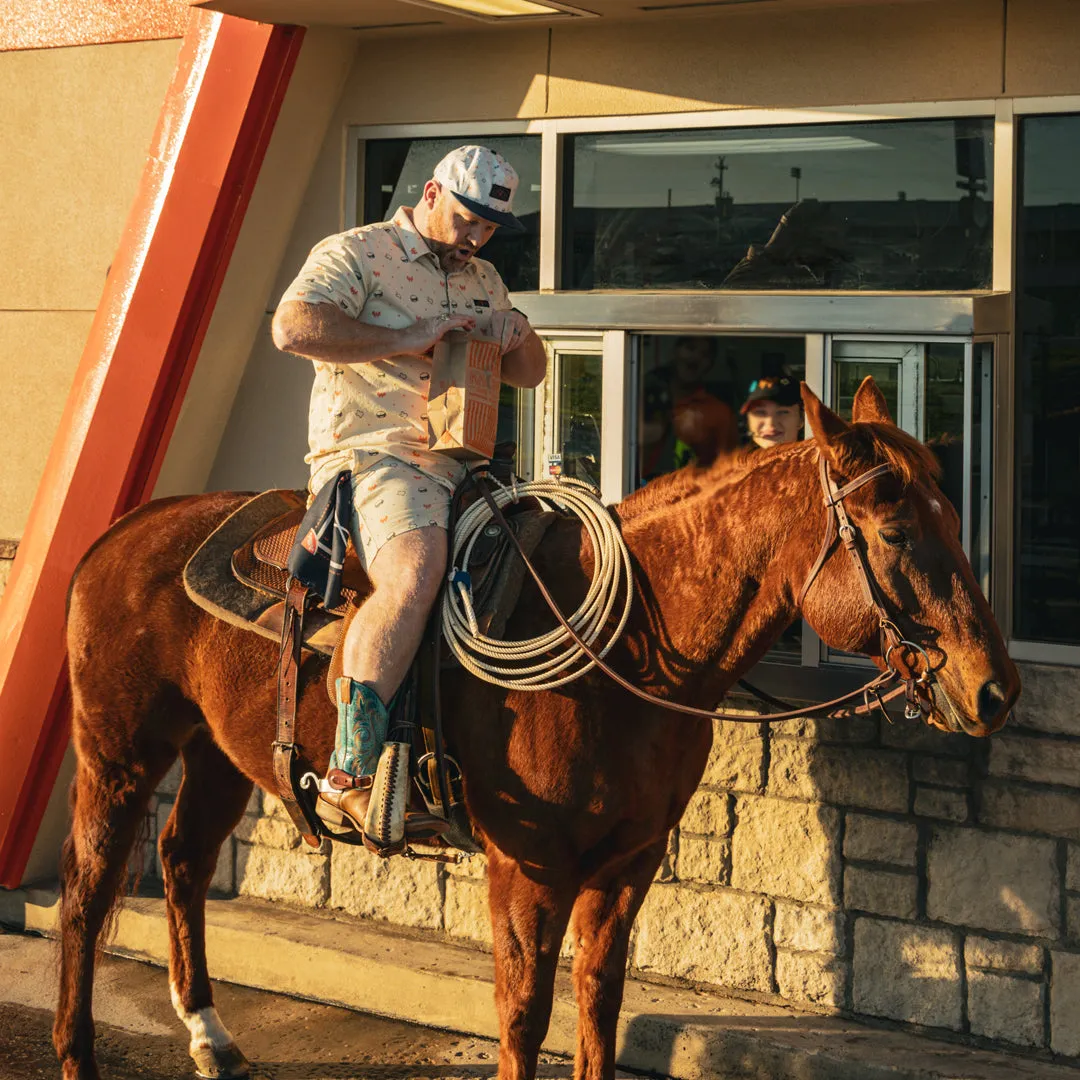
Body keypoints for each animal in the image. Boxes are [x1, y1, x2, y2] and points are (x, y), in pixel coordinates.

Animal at [52, 382, 1010, 1080]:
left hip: (217, 752)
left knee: (182, 862)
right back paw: (77, 1051)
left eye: (958, 521)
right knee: (88, 889)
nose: (995, 689)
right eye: (897, 531)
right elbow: (524, 1014)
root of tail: (124, 529)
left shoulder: (626, 867)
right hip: (118, 754)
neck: (625, 652)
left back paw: (209, 1035)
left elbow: (598, 1001)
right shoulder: (529, 871)